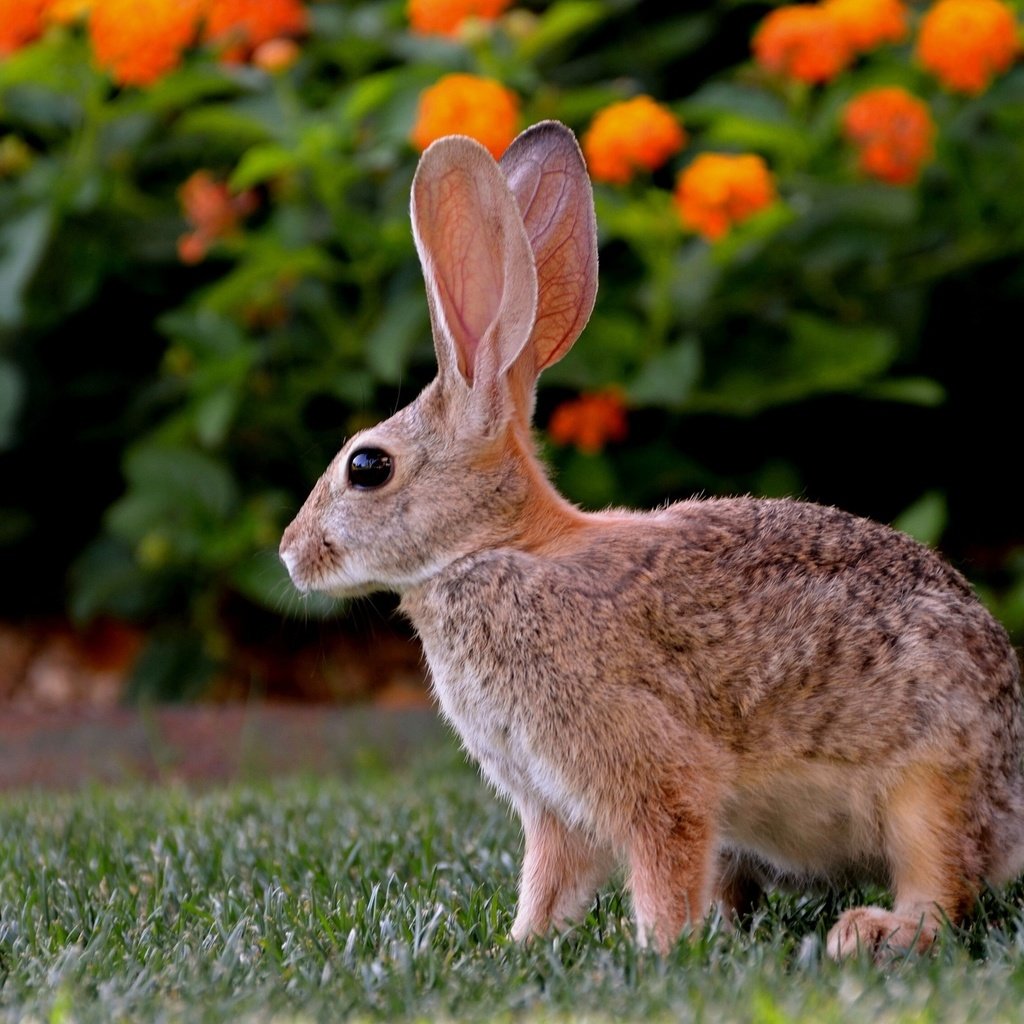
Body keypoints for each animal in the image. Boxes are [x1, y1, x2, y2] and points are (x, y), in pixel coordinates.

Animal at [280, 119, 1024, 958]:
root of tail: (1011, 803)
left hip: (931, 785)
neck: (498, 551)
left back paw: (871, 932)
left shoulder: (646, 769)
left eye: (367, 467)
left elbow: (662, 854)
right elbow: (550, 878)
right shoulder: (551, 803)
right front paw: (523, 945)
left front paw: (658, 951)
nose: (290, 553)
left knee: (943, 888)